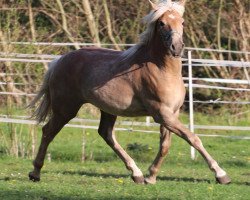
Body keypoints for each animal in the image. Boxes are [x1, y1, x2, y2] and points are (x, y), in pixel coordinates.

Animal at [27, 0, 230, 184]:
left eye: (182, 22)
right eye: (161, 23)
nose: (176, 47)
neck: (162, 70)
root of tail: (59, 61)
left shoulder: (172, 113)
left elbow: (165, 145)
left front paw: (151, 177)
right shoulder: (161, 113)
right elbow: (193, 138)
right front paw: (221, 174)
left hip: (107, 110)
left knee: (106, 134)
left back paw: (137, 174)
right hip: (66, 109)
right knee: (47, 131)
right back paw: (35, 173)